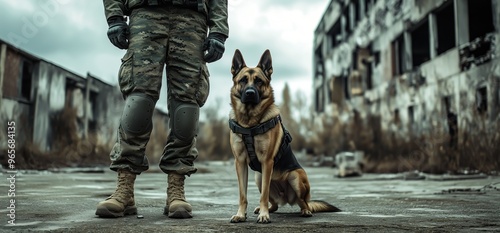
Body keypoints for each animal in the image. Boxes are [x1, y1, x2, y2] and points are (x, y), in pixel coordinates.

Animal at [229, 49, 340, 224]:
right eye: (243, 80)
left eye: (259, 81)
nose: (250, 93)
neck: (250, 123)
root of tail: (286, 198)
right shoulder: (240, 162)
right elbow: (243, 194)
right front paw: (241, 214)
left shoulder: (267, 161)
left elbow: (263, 194)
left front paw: (263, 216)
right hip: (259, 177)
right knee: (274, 203)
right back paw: (265, 209)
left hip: (295, 176)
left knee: (303, 202)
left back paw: (305, 211)